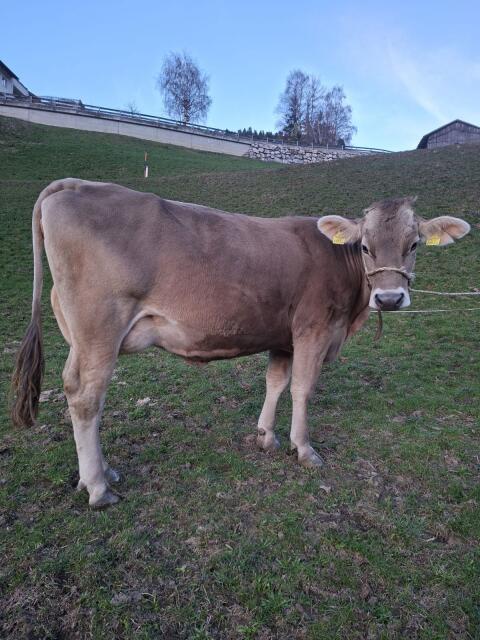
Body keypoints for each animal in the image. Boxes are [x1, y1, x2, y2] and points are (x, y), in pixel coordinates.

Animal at [11, 179, 470, 507]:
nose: (389, 299)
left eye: (414, 244)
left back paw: (104, 472)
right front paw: (304, 449)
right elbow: (303, 388)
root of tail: (73, 185)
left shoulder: (283, 335)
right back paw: (98, 487)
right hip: (99, 327)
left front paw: (266, 436)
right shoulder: (314, 329)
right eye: (366, 247)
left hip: (79, 333)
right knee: (86, 397)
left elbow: (277, 382)